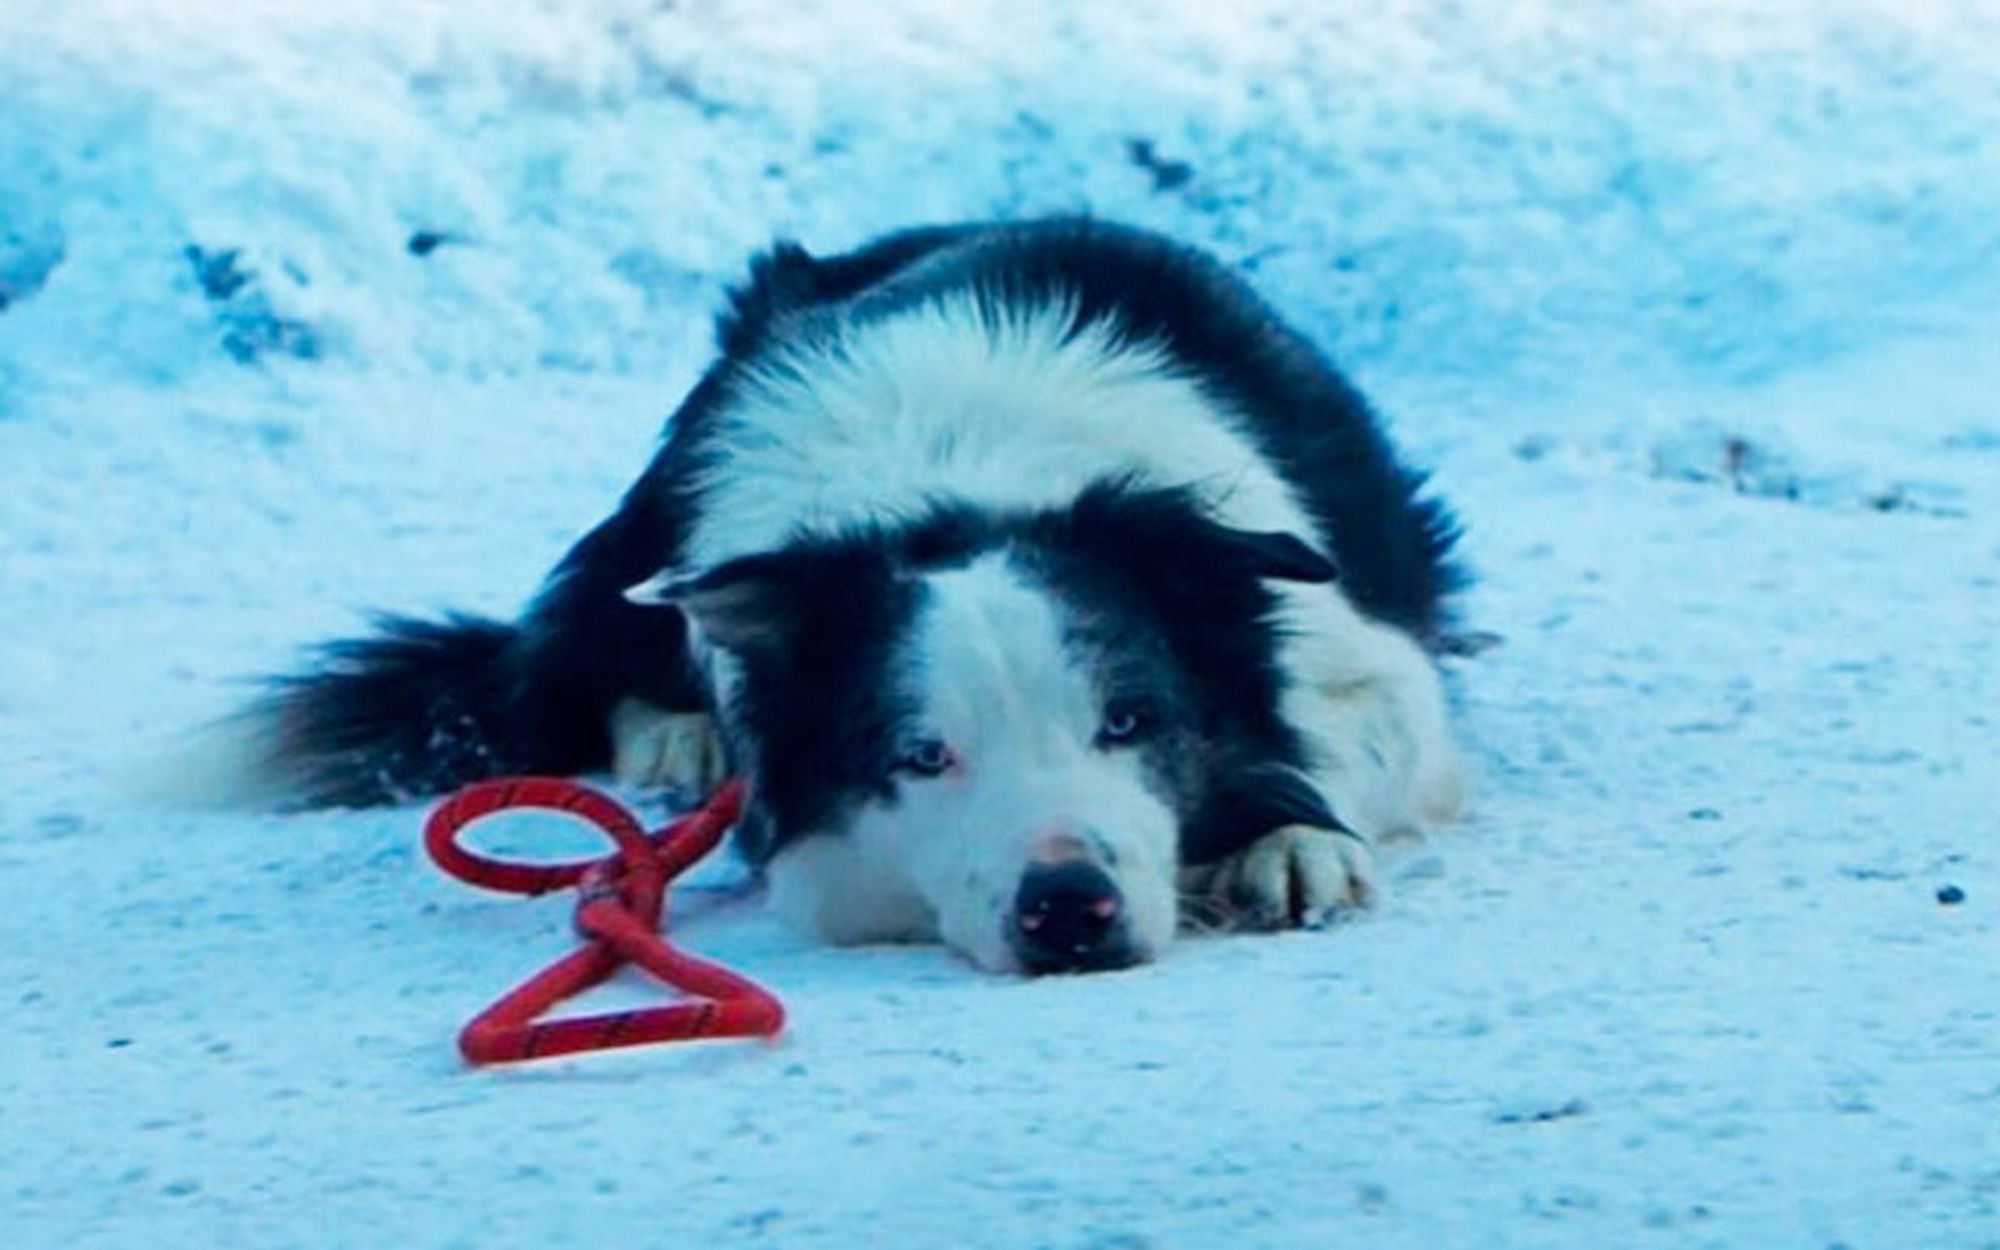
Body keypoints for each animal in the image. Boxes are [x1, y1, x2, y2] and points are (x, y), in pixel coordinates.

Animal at [250, 217, 1472, 976]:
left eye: (1129, 721)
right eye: (922, 756)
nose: (1067, 908)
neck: (958, 489)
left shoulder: (1356, 648)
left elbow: (1349, 733)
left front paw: (1285, 839)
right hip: (651, 517)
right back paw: (682, 737)